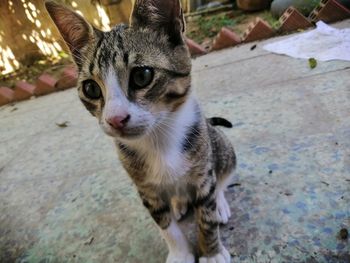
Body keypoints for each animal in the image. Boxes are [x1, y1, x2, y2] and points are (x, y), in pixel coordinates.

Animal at [45, 1, 237, 262]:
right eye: (91, 88)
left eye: (142, 75)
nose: (115, 119)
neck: (159, 139)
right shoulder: (146, 190)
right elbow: (165, 225)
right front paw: (180, 253)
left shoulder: (203, 173)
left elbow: (206, 216)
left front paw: (212, 252)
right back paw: (179, 203)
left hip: (222, 147)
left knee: (222, 179)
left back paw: (219, 203)